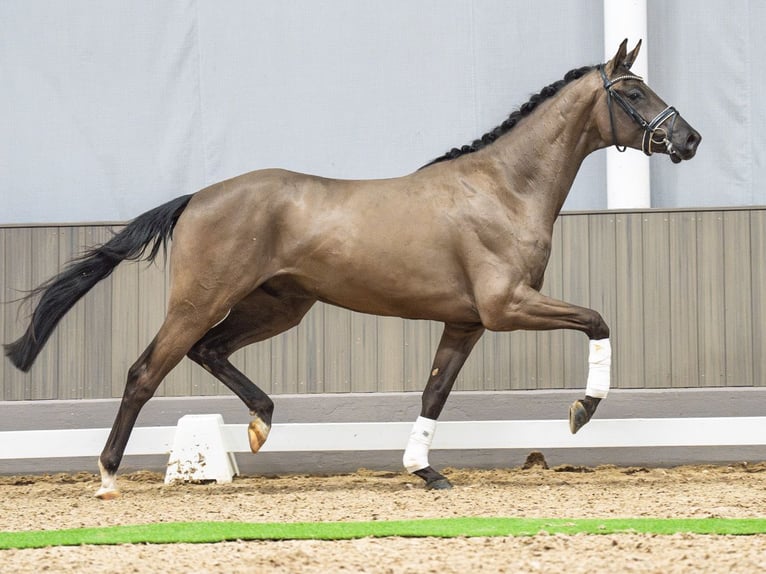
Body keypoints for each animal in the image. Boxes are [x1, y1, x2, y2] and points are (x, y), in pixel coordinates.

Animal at [4, 40, 704, 500]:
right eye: (633, 92)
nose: (689, 140)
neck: (505, 188)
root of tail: (197, 197)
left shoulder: (466, 321)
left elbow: (434, 393)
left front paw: (425, 469)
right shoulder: (507, 306)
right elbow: (597, 319)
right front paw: (582, 410)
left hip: (279, 305)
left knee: (210, 351)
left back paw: (260, 423)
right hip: (200, 301)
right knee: (145, 371)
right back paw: (107, 476)